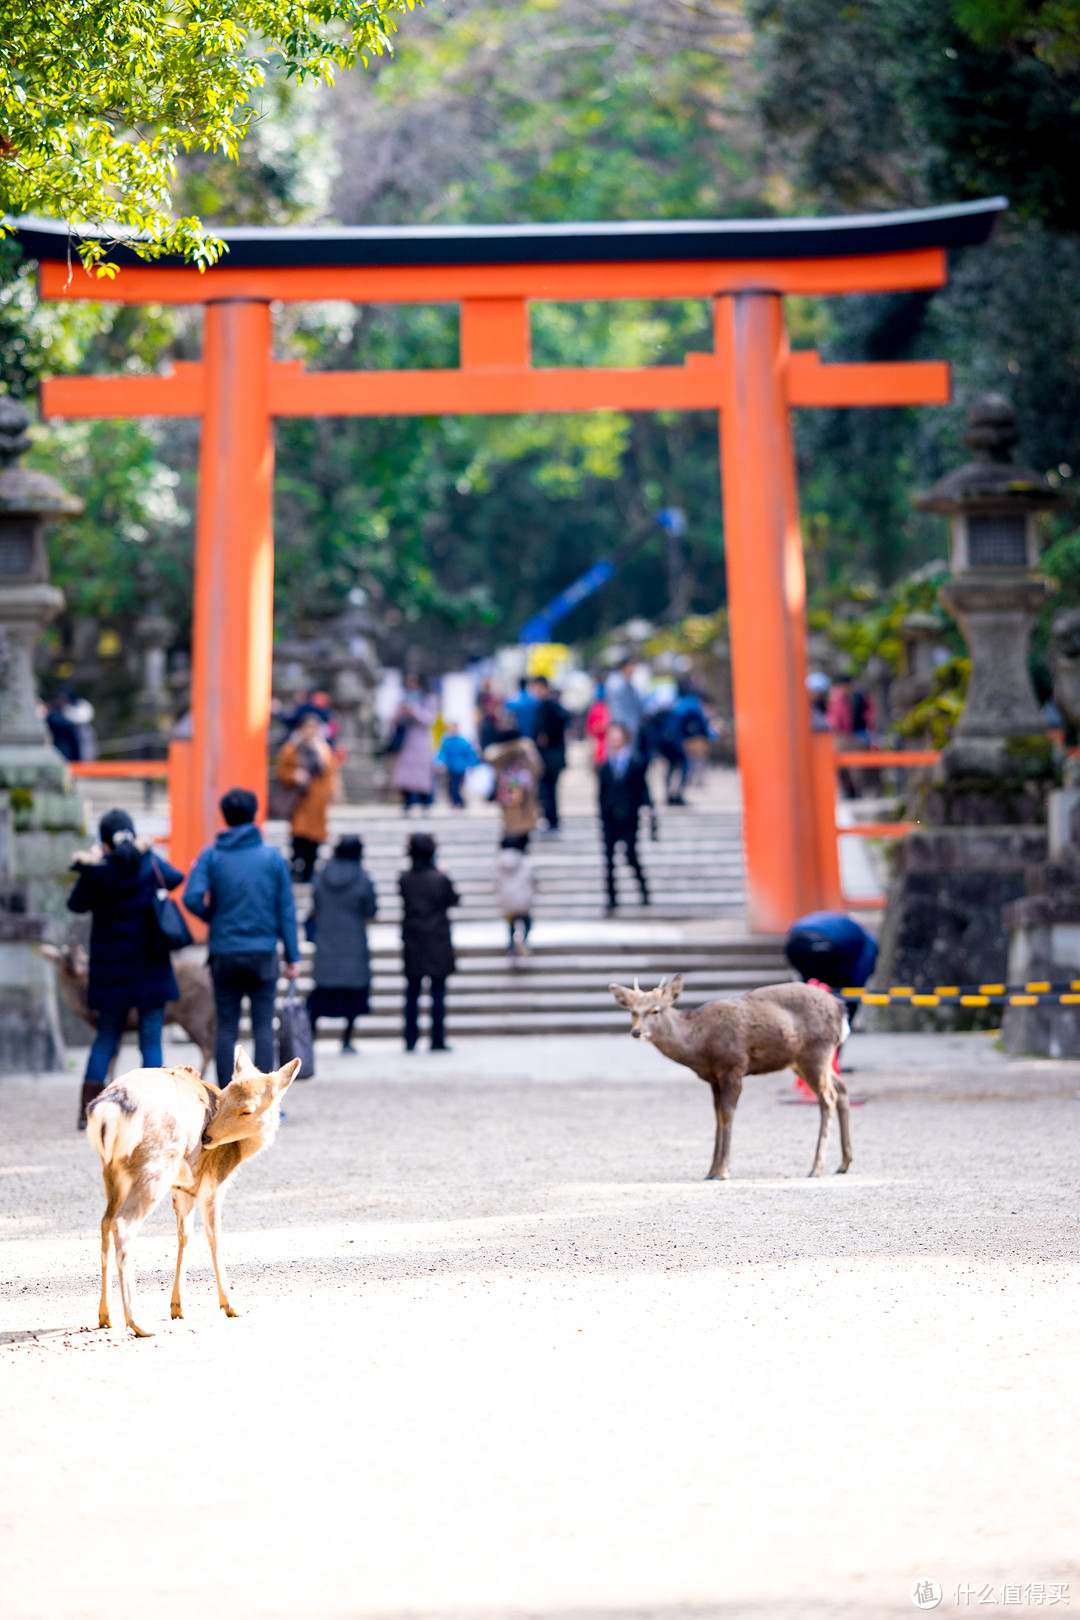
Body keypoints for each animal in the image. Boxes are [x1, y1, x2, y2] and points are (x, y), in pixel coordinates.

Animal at [40, 939, 216, 1075]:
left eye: (78, 957)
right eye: (60, 958)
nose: (78, 968)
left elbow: (112, 1059)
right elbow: (112, 1058)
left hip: (195, 1016)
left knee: (208, 1049)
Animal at [84, 1043, 299, 1334]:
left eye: (245, 1109)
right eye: (224, 1100)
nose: (206, 1137)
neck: (238, 1151)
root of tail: (109, 1109)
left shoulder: (183, 1188)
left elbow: (184, 1235)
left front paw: (177, 1307)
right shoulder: (214, 1181)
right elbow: (214, 1236)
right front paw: (230, 1305)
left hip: (112, 1171)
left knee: (105, 1222)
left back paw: (105, 1315)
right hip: (155, 1166)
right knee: (123, 1224)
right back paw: (137, 1323)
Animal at [608, 972, 854, 1179]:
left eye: (655, 1010)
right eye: (632, 1011)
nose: (636, 1032)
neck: (699, 1046)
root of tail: (840, 1009)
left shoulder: (733, 1068)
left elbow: (727, 1114)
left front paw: (723, 1170)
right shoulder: (714, 1078)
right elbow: (717, 1116)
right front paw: (711, 1170)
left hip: (815, 1052)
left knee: (828, 1098)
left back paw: (817, 1167)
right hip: (804, 1061)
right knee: (842, 1089)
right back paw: (843, 1163)